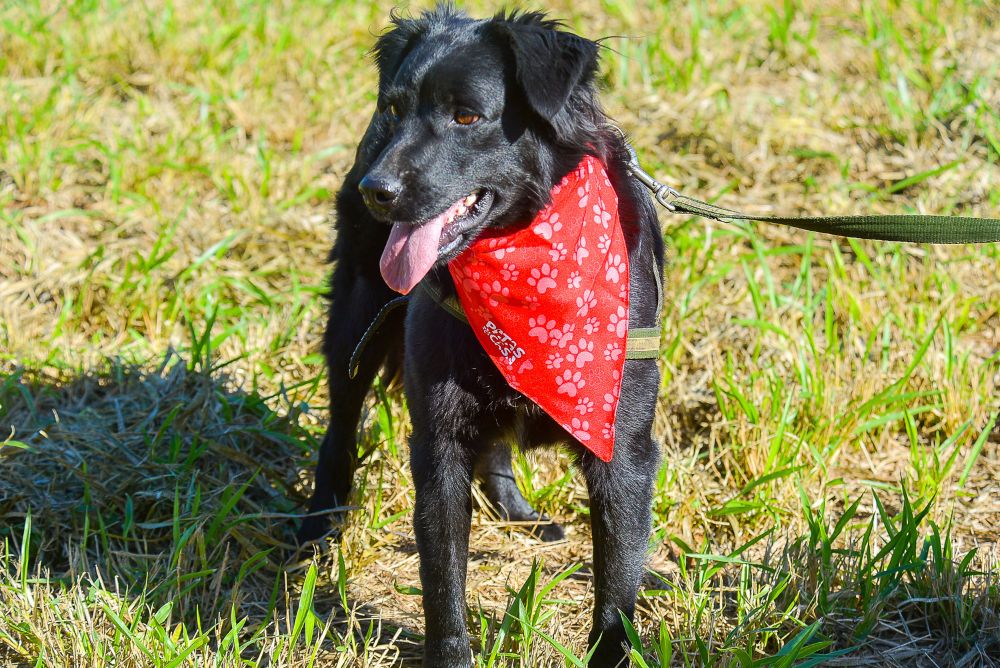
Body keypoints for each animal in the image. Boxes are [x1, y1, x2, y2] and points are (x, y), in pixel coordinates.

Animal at [304, 6, 664, 668]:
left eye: (467, 116)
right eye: (394, 109)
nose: (377, 191)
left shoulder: (624, 451)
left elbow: (616, 590)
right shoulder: (438, 443)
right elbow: (443, 584)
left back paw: (517, 513)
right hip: (354, 320)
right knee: (341, 424)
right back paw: (318, 525)